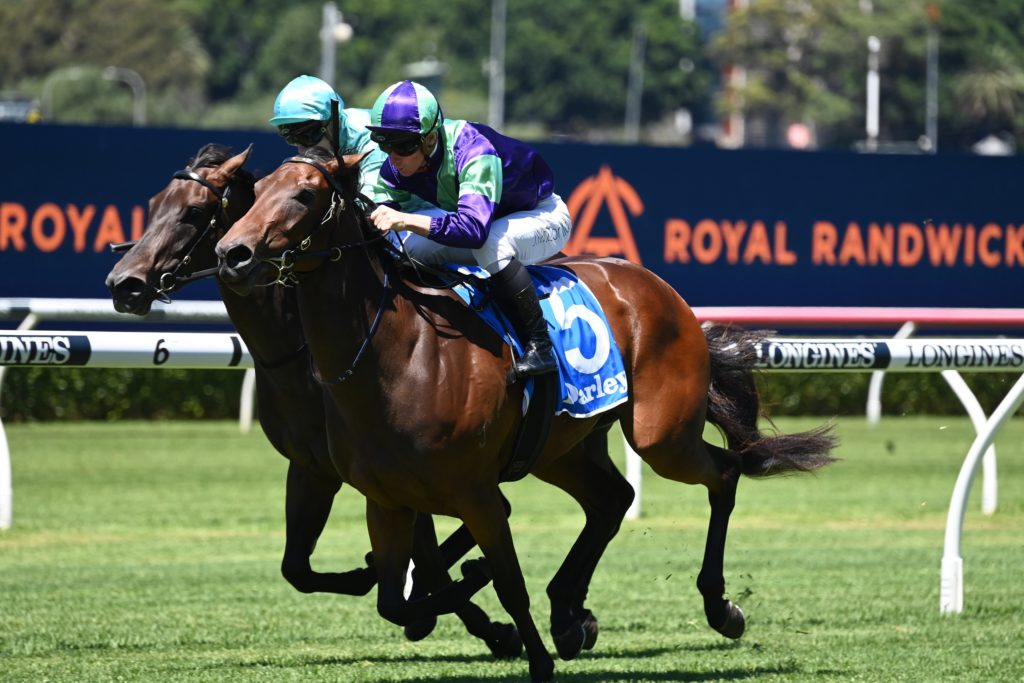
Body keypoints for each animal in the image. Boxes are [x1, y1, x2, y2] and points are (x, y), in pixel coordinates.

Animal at [104, 143, 525, 657]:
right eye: (153, 205)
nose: (125, 284)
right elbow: (297, 569)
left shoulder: (397, 467)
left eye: (194, 211)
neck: (300, 353)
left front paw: (486, 623)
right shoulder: (313, 465)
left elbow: (425, 551)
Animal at [214, 146, 837, 682]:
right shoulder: (385, 498)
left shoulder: (478, 495)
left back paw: (718, 606)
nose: (231, 254)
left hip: (661, 435)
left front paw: (525, 646)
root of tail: (662, 290)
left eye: (304, 195)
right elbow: (397, 600)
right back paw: (569, 613)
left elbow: (504, 582)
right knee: (613, 499)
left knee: (723, 473)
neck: (396, 357)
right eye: (254, 194)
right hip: (559, 447)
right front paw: (471, 597)